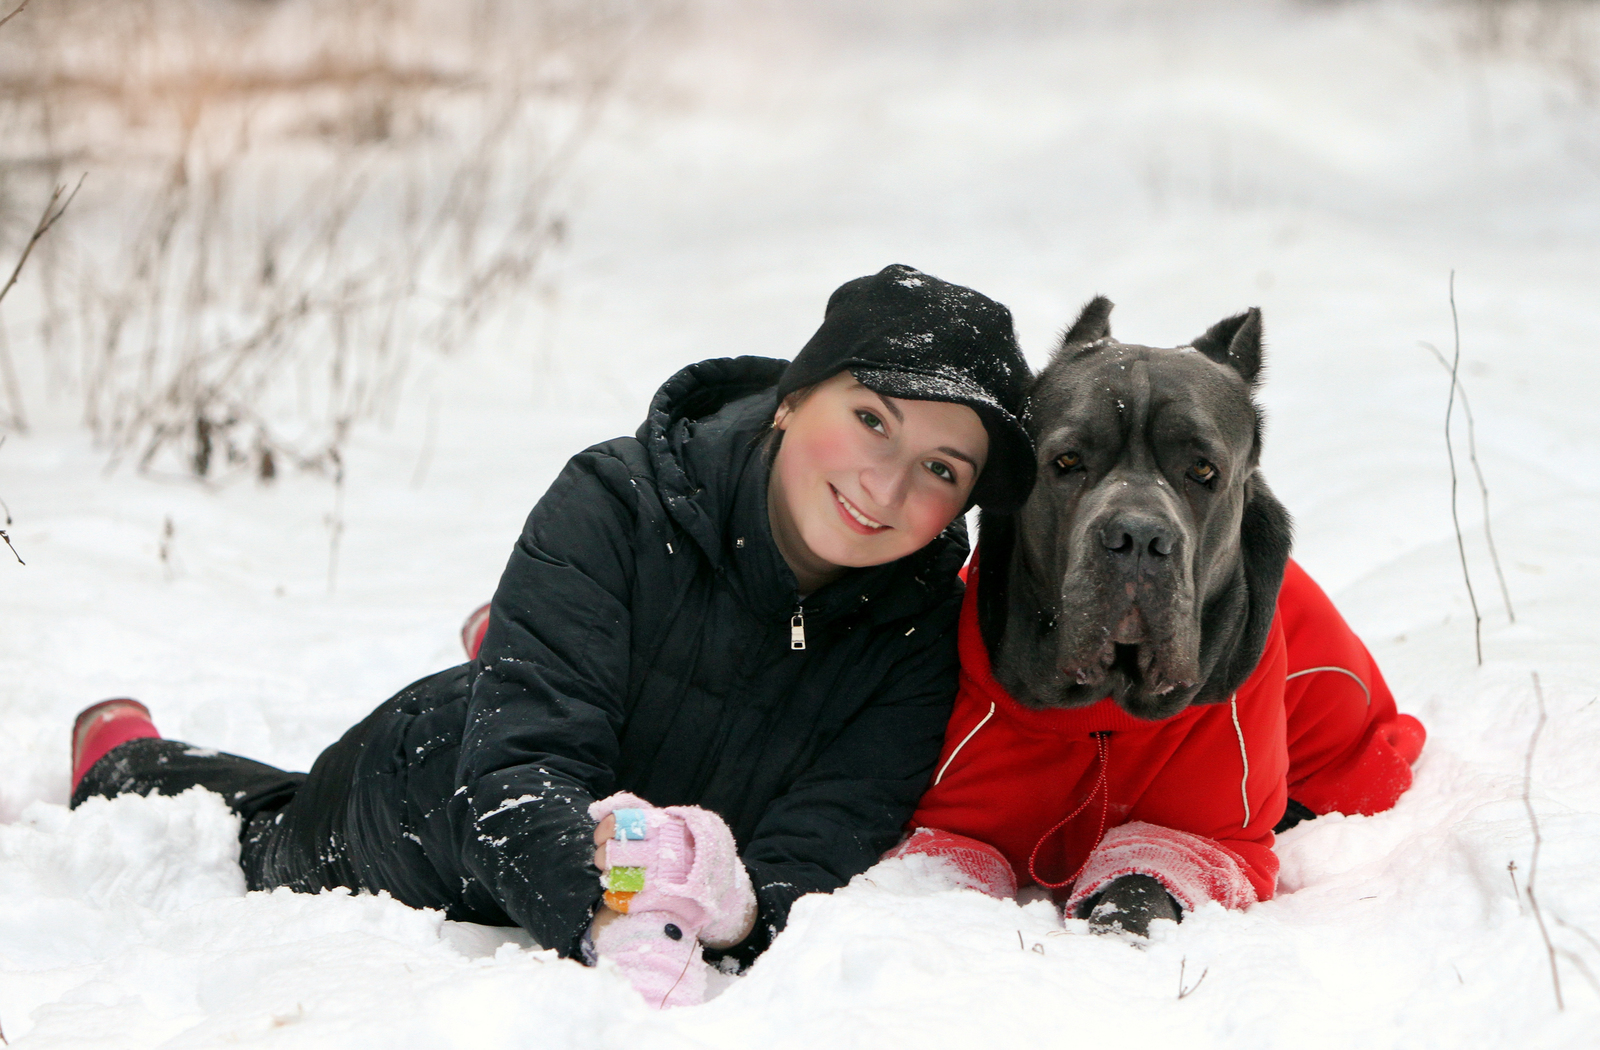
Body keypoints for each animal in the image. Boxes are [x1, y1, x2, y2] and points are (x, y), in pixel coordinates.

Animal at [972, 297, 1299, 934]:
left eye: (1203, 470)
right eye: (1067, 461)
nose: (1139, 536)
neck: (1103, 716)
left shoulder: (1211, 834)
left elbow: (1141, 879)